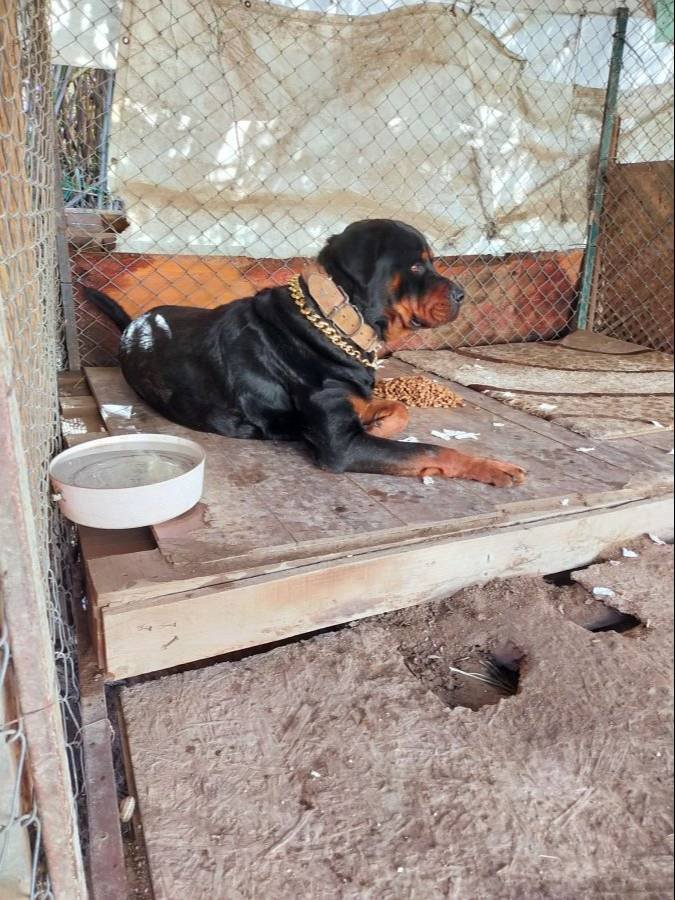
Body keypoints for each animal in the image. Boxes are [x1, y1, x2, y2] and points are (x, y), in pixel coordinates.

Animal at [84, 219, 525, 487]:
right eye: (417, 267)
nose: (462, 294)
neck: (338, 321)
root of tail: (133, 326)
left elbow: (400, 409)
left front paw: (381, 422)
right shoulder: (343, 445)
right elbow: (432, 448)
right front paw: (492, 466)